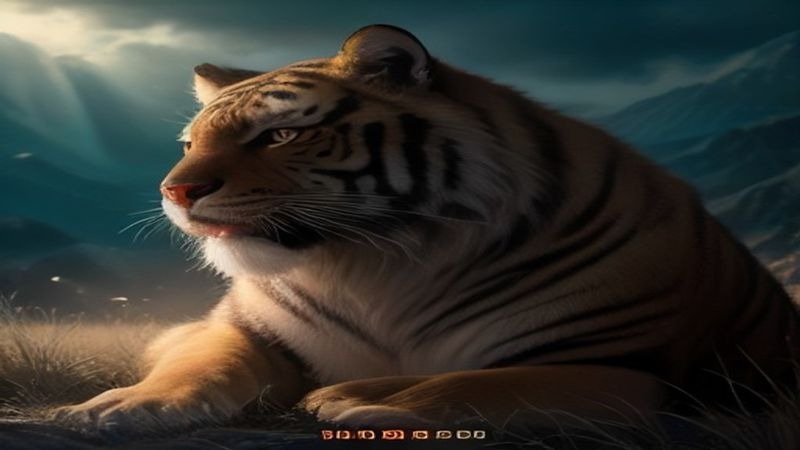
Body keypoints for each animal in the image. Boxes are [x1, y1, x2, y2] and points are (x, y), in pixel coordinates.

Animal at [56, 24, 799, 431]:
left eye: (282, 134)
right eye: (190, 144)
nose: (175, 190)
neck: (378, 264)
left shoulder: (615, 367)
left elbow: (478, 383)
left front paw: (369, 406)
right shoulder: (245, 331)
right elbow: (199, 363)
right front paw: (115, 409)